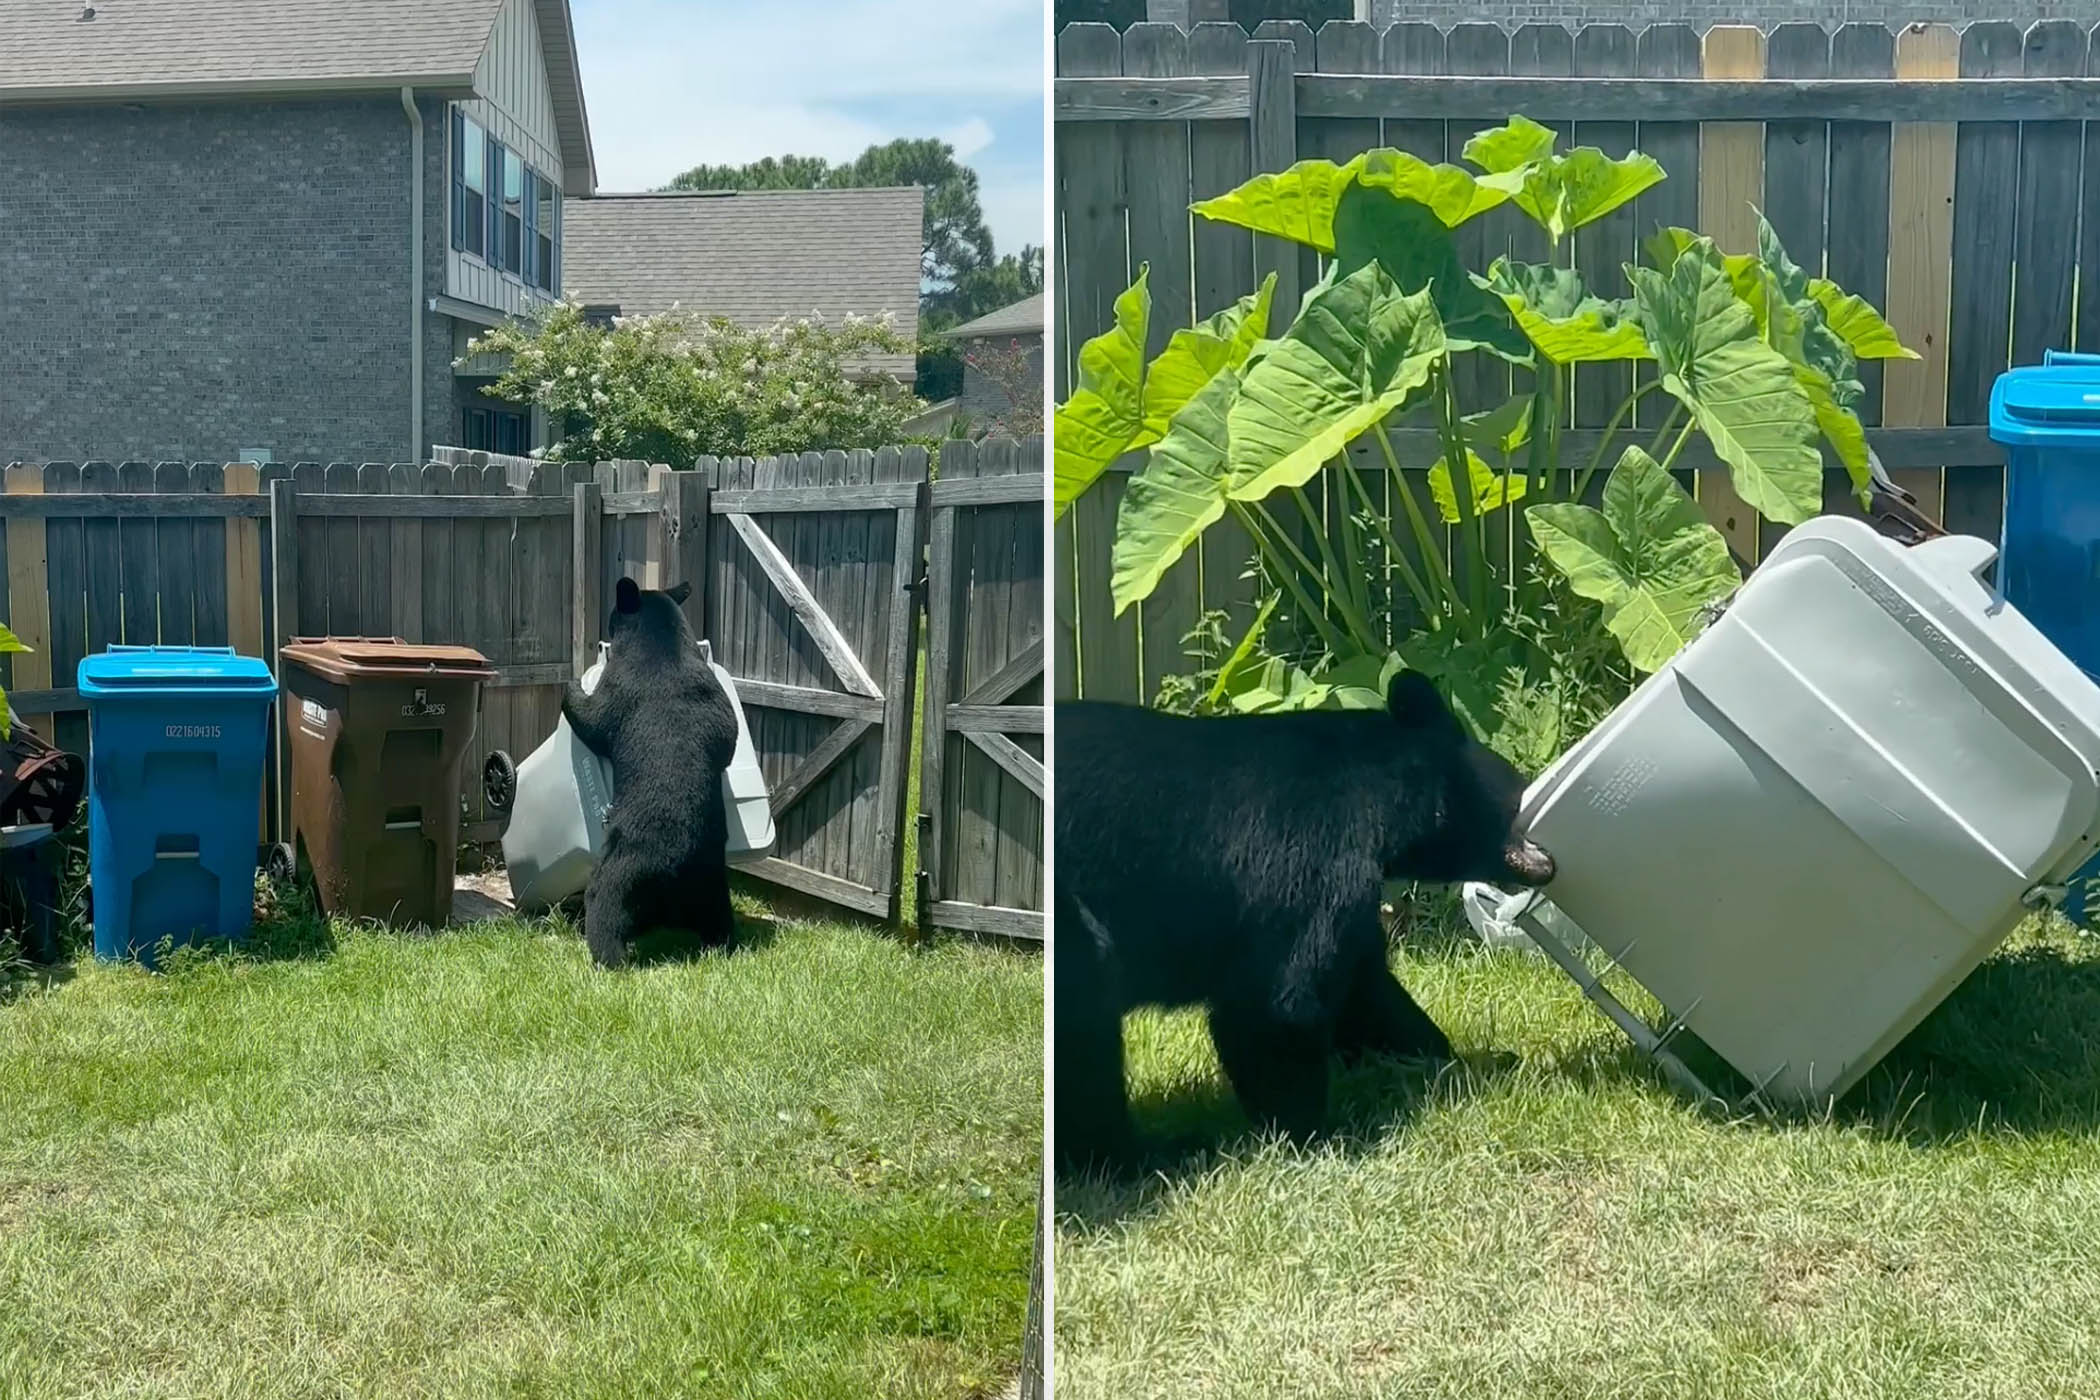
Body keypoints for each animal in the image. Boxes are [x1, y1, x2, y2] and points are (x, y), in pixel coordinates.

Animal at [562, 579, 743, 965]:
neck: (664, 643)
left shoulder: (620, 685)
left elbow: (593, 718)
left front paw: (572, 684)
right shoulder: (715, 698)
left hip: (622, 869)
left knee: (604, 904)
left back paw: (606, 956)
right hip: (713, 883)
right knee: (719, 917)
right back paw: (720, 945)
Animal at [1050, 671, 1562, 1175]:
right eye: (1518, 786)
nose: (1547, 860)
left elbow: (1365, 988)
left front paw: (1460, 1059)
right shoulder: (1308, 855)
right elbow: (1278, 1001)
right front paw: (1312, 1135)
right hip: (1068, 915)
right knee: (1086, 1023)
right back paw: (1141, 1155)